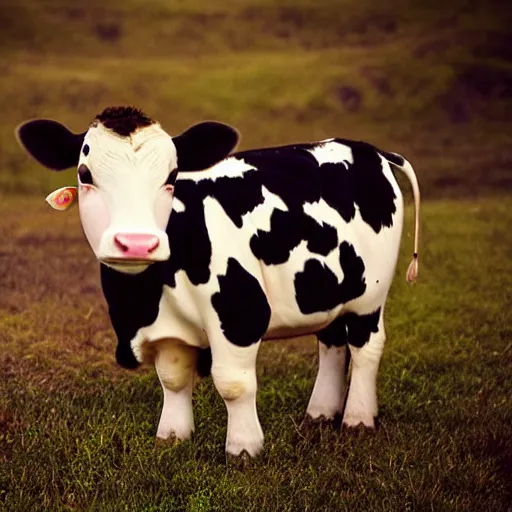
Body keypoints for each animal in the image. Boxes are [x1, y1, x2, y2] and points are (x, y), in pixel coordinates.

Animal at [16, 107, 420, 460]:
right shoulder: (168, 330)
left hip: (370, 294)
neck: (143, 302)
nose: (137, 242)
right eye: (85, 174)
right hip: (325, 288)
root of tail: (370, 149)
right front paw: (173, 436)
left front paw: (243, 449)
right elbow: (173, 378)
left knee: (366, 346)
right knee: (332, 342)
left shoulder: (240, 311)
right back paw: (319, 414)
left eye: (171, 177)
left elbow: (233, 383)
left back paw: (357, 420)